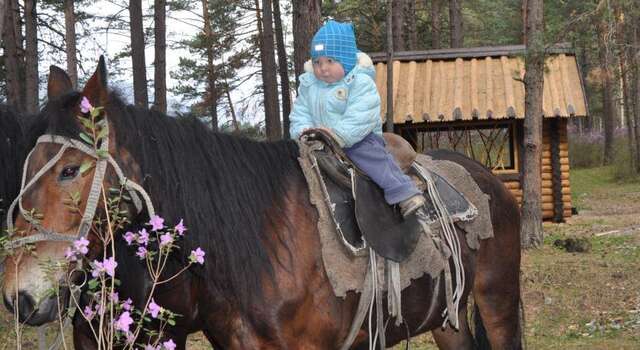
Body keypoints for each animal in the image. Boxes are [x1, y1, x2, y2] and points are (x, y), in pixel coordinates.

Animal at [1, 58, 524, 348]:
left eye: (70, 170)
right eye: (23, 168)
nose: (17, 297)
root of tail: (489, 180)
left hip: (497, 301)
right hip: (447, 320)